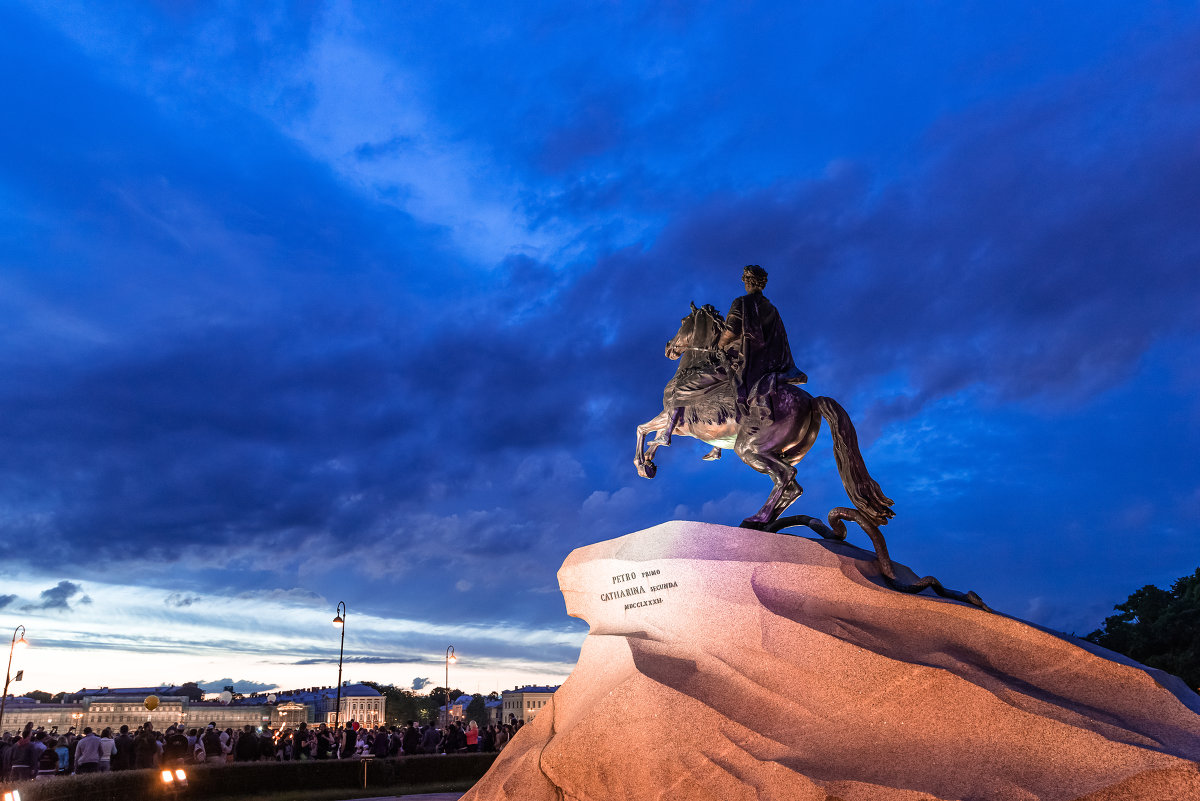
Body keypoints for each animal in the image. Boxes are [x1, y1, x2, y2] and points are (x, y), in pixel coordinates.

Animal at [633, 299, 897, 525]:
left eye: (683, 321)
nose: (668, 347)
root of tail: (812, 401)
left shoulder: (672, 414)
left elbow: (648, 432)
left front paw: (645, 462)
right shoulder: (679, 424)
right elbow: (645, 430)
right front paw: (647, 463)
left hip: (750, 449)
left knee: (786, 476)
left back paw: (758, 518)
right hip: (776, 452)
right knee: (793, 487)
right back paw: (765, 520)